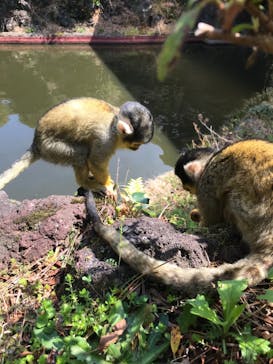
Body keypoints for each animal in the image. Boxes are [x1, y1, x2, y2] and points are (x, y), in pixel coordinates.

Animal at [0, 96, 153, 198]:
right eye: (136, 144)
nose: (137, 149)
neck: (114, 125)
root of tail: (36, 142)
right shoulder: (105, 139)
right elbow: (96, 162)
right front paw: (108, 184)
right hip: (51, 148)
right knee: (81, 154)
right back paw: (85, 182)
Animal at [84, 139, 272, 296]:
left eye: (187, 186)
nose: (186, 189)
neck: (212, 159)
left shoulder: (207, 181)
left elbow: (212, 217)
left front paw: (200, 219)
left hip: (247, 212)